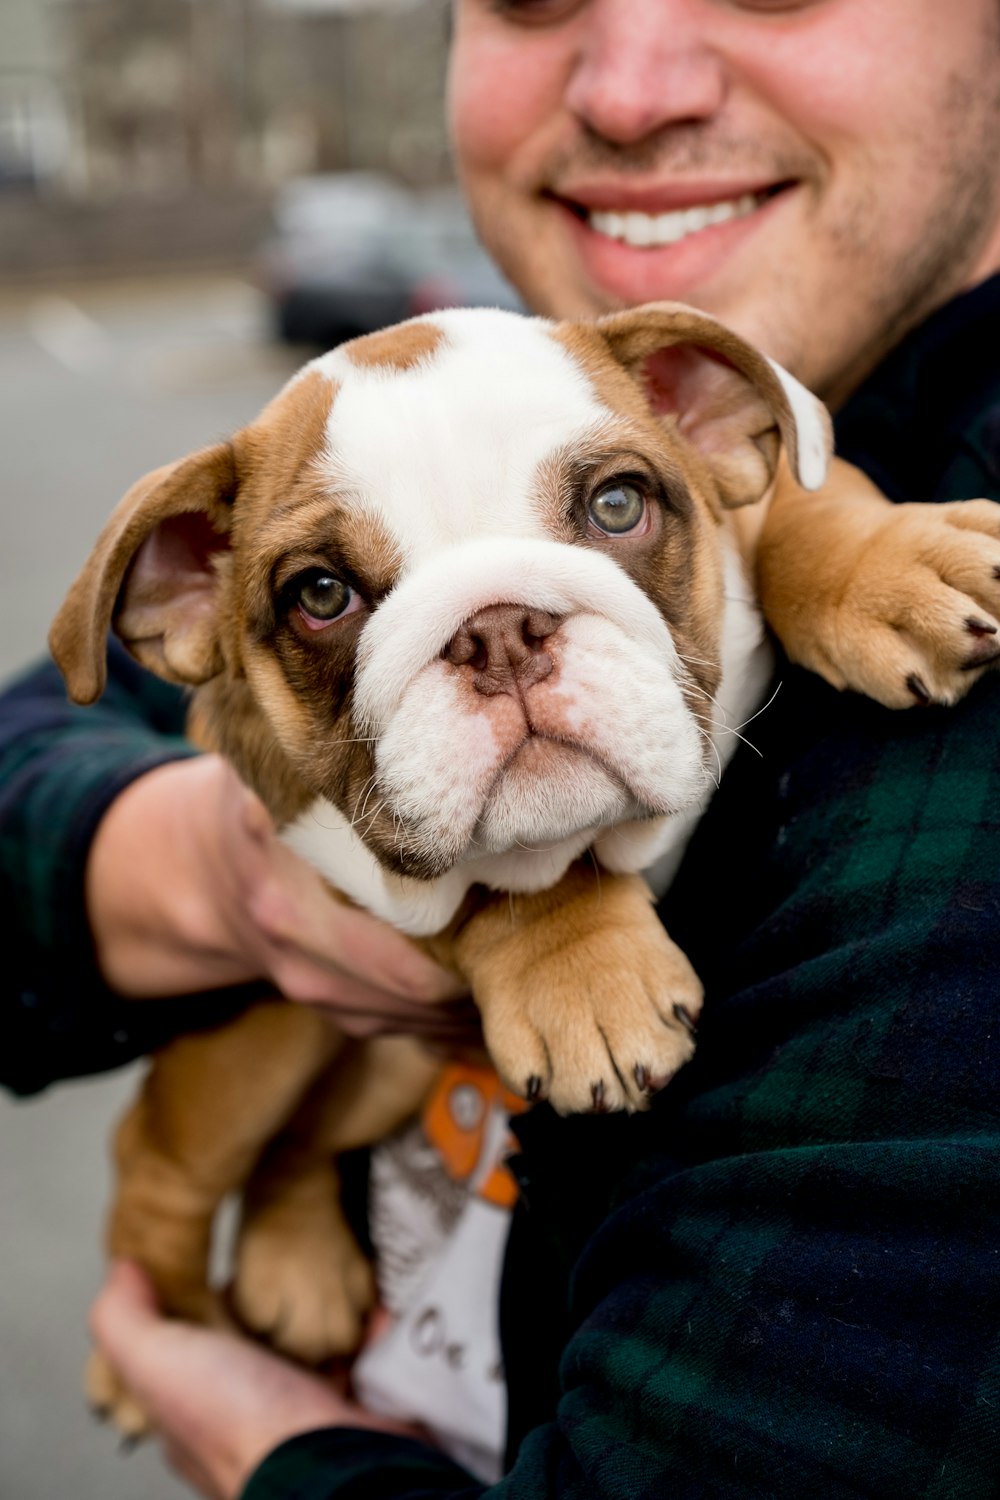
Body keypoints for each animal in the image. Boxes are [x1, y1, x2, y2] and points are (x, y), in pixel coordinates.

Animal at [48, 301, 1000, 1428]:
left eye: (618, 503)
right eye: (320, 594)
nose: (498, 626)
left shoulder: (758, 499)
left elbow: (809, 496)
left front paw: (896, 564)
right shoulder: (331, 835)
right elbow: (510, 883)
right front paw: (579, 972)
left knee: (302, 1144)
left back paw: (298, 1269)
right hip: (262, 1040)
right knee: (163, 1161)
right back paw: (152, 1352)